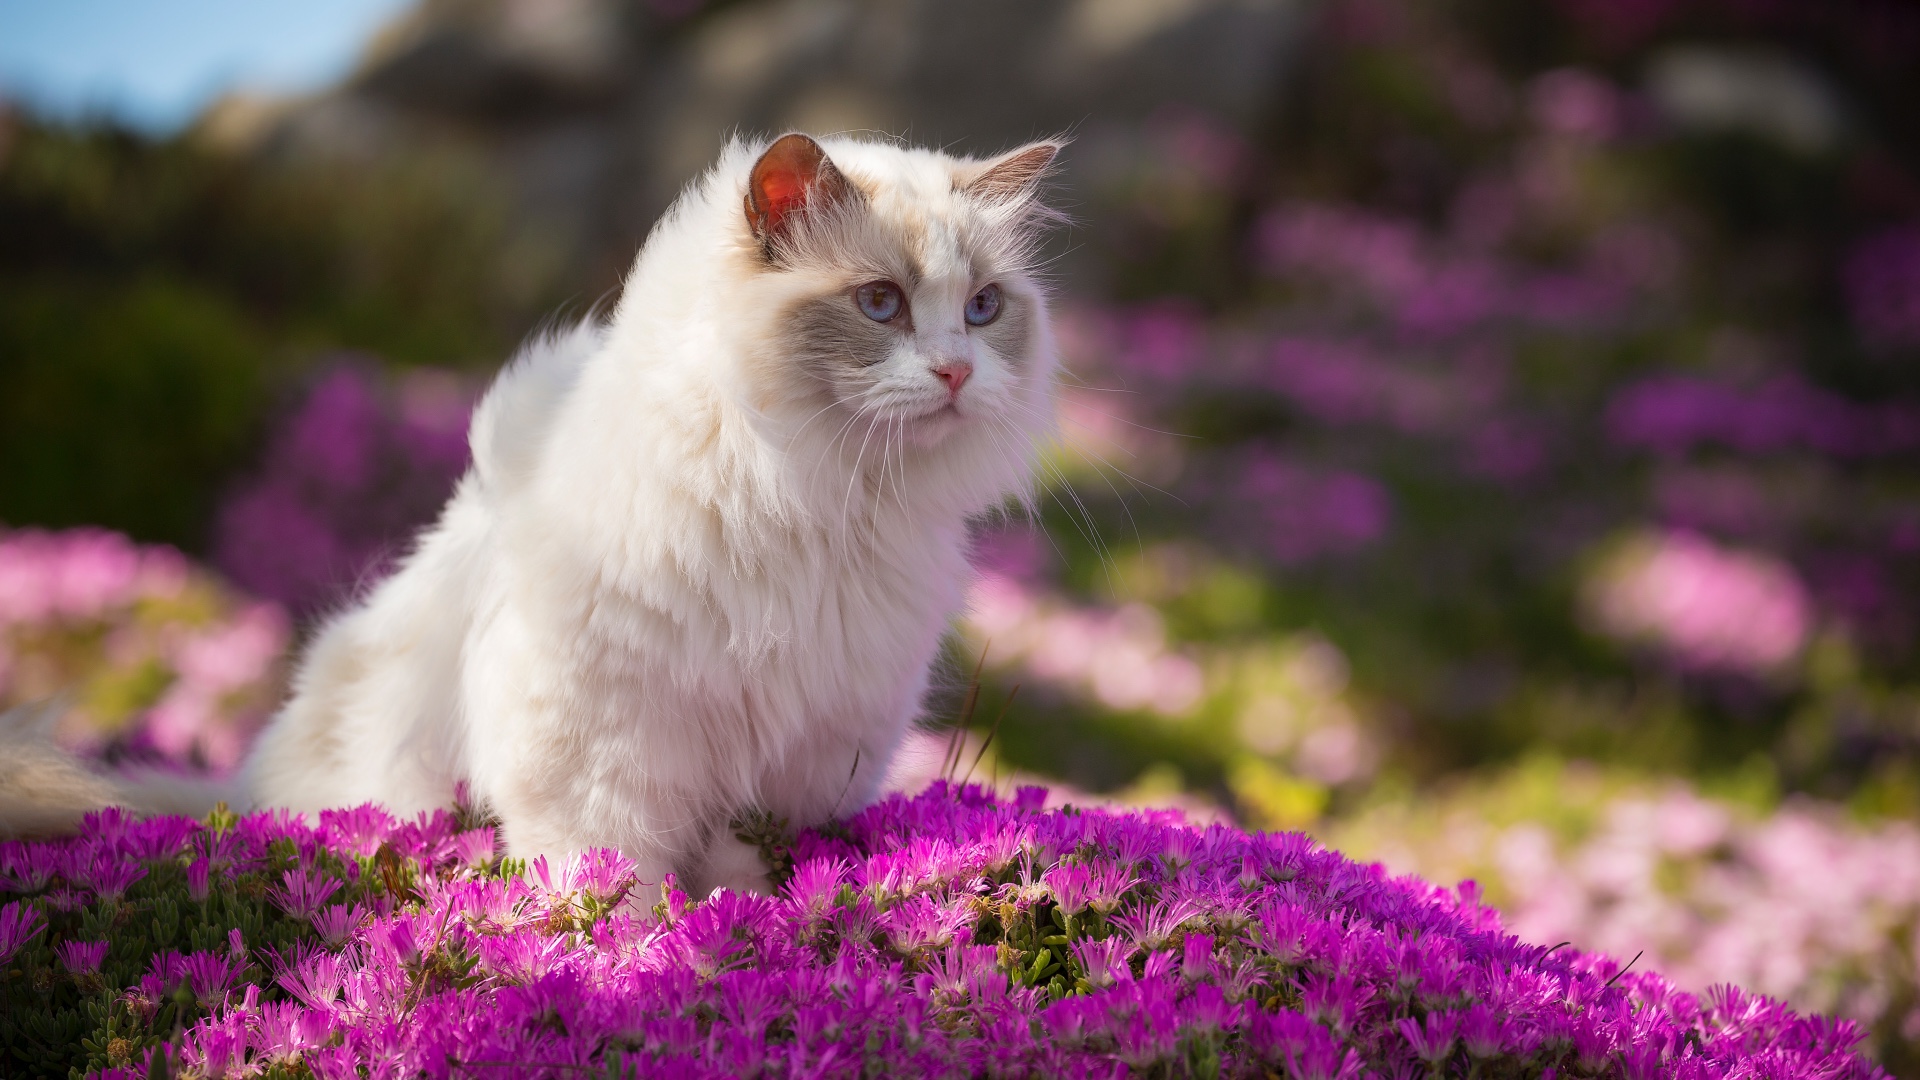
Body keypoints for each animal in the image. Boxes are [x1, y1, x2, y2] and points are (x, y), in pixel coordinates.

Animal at [0, 132, 1067, 891]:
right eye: (880, 304)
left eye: (982, 309)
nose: (958, 372)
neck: (816, 499)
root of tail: (241, 790)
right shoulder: (603, 749)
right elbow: (613, 879)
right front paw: (646, 958)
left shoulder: (793, 754)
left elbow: (737, 872)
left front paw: (745, 933)